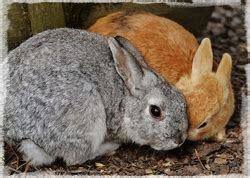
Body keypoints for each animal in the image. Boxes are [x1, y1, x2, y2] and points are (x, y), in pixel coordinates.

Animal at [2, 27, 188, 165]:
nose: (180, 139)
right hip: (86, 111)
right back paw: (109, 147)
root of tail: (17, 133)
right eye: (155, 111)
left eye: (183, 101)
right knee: (75, 157)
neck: (124, 99)